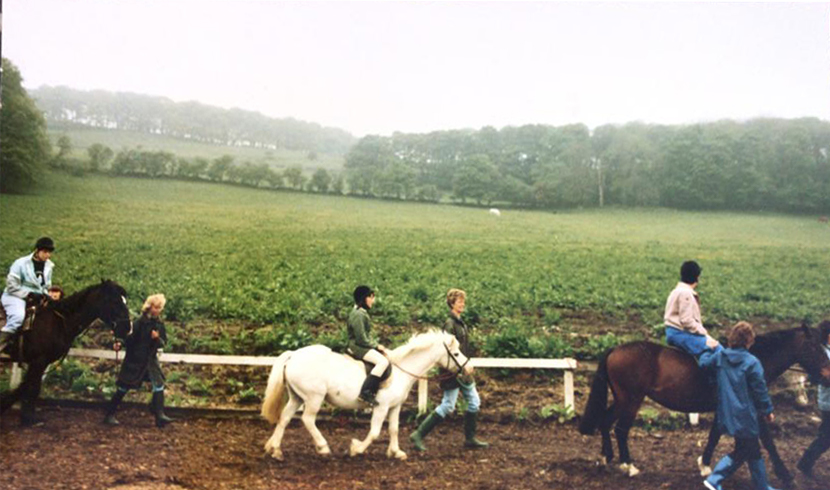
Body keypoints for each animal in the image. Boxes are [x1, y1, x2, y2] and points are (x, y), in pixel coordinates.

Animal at [0, 280, 132, 424]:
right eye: (114, 301)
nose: (127, 328)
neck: (58, 321)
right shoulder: (38, 361)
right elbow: (31, 387)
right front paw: (27, 417)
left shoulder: (43, 362)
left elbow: (27, 387)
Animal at [262, 332, 468, 462]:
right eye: (456, 353)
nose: (469, 370)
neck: (401, 371)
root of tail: (293, 355)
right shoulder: (381, 407)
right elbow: (375, 432)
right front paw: (357, 449)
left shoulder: (395, 407)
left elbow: (394, 429)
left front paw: (396, 452)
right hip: (314, 398)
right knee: (308, 419)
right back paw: (323, 447)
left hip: (297, 397)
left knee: (285, 418)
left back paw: (275, 450)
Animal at [580, 324, 830, 484]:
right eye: (816, 347)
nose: (827, 374)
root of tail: (615, 349)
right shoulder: (754, 410)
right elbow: (768, 441)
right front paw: (785, 474)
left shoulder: (724, 408)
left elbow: (714, 434)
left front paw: (705, 463)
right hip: (631, 400)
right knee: (621, 429)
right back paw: (628, 466)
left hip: (621, 399)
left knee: (605, 422)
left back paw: (605, 458)